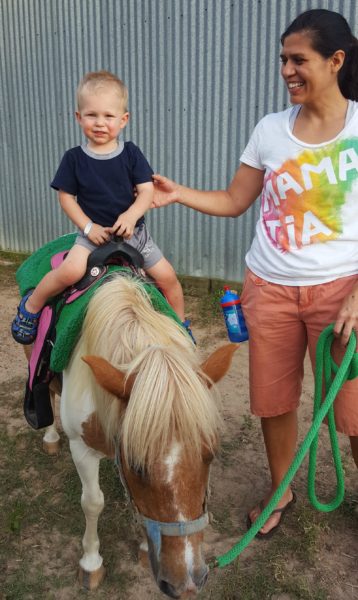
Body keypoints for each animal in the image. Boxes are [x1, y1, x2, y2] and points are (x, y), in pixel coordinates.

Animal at [39, 274, 236, 596]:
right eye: (137, 466)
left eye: (210, 456)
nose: (187, 585)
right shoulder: (81, 448)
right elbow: (92, 502)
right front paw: (91, 563)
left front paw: (145, 547)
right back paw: (50, 437)